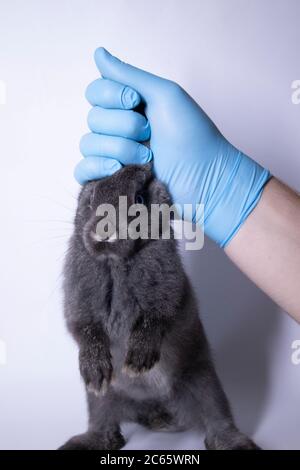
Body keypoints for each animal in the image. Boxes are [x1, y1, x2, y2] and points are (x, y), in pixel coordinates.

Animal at [59, 163, 260, 450]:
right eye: (92, 195)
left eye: (139, 199)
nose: (104, 232)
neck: (117, 263)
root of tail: (155, 409)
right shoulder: (78, 303)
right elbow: (84, 329)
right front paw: (95, 369)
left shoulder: (166, 296)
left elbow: (154, 321)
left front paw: (138, 362)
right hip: (101, 400)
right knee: (103, 423)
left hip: (205, 383)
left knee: (218, 419)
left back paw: (236, 443)